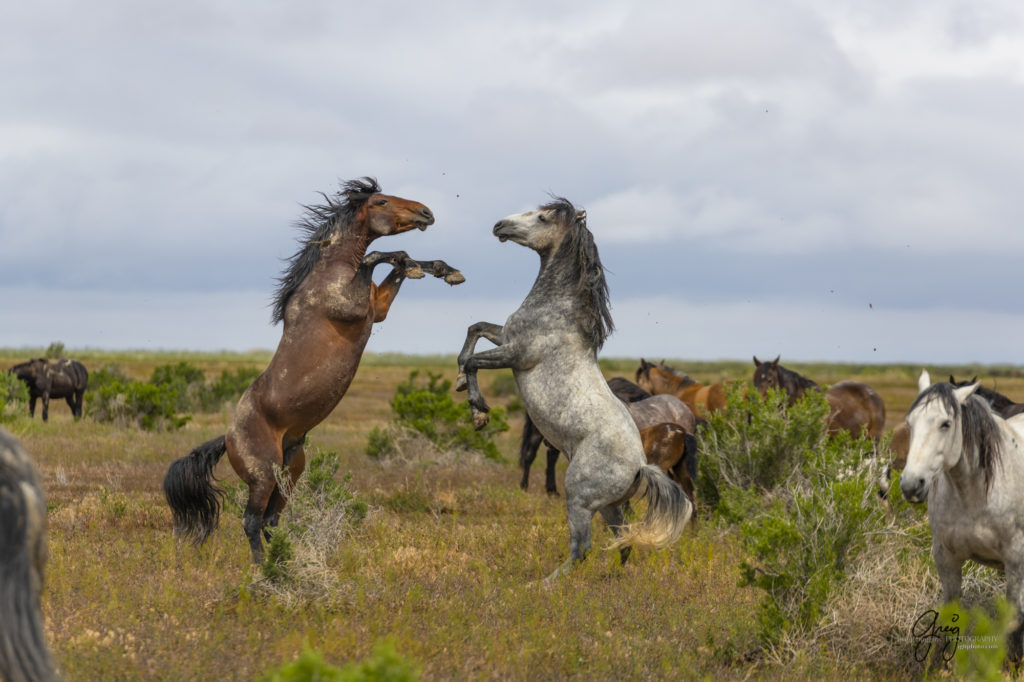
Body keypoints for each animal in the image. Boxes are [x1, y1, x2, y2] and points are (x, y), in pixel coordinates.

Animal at [163, 176, 464, 561]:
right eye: (380, 202)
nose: (425, 212)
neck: (330, 272)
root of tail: (227, 438)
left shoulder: (376, 308)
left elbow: (395, 268)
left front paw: (444, 269)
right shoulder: (353, 305)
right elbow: (377, 257)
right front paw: (419, 264)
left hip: (291, 471)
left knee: (270, 520)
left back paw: (287, 559)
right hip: (263, 476)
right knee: (250, 521)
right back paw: (264, 569)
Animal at [458, 196, 692, 577]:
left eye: (542, 217)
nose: (499, 226)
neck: (559, 312)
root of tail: (639, 468)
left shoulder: (516, 353)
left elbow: (472, 360)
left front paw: (479, 411)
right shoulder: (505, 336)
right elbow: (474, 330)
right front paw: (461, 386)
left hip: (579, 499)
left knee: (581, 549)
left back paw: (544, 583)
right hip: (610, 507)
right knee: (624, 542)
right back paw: (612, 579)